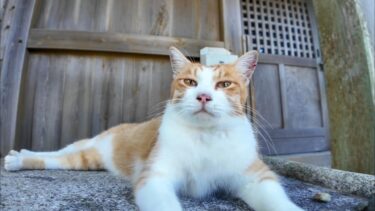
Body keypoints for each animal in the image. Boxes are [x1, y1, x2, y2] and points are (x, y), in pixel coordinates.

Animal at [4, 47, 304, 210]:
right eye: (190, 82)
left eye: (224, 84)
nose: (204, 96)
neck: (205, 137)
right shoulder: (156, 176)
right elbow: (164, 203)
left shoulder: (255, 175)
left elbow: (277, 199)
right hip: (87, 148)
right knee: (56, 153)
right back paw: (17, 158)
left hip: (86, 159)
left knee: (59, 158)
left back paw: (20, 156)